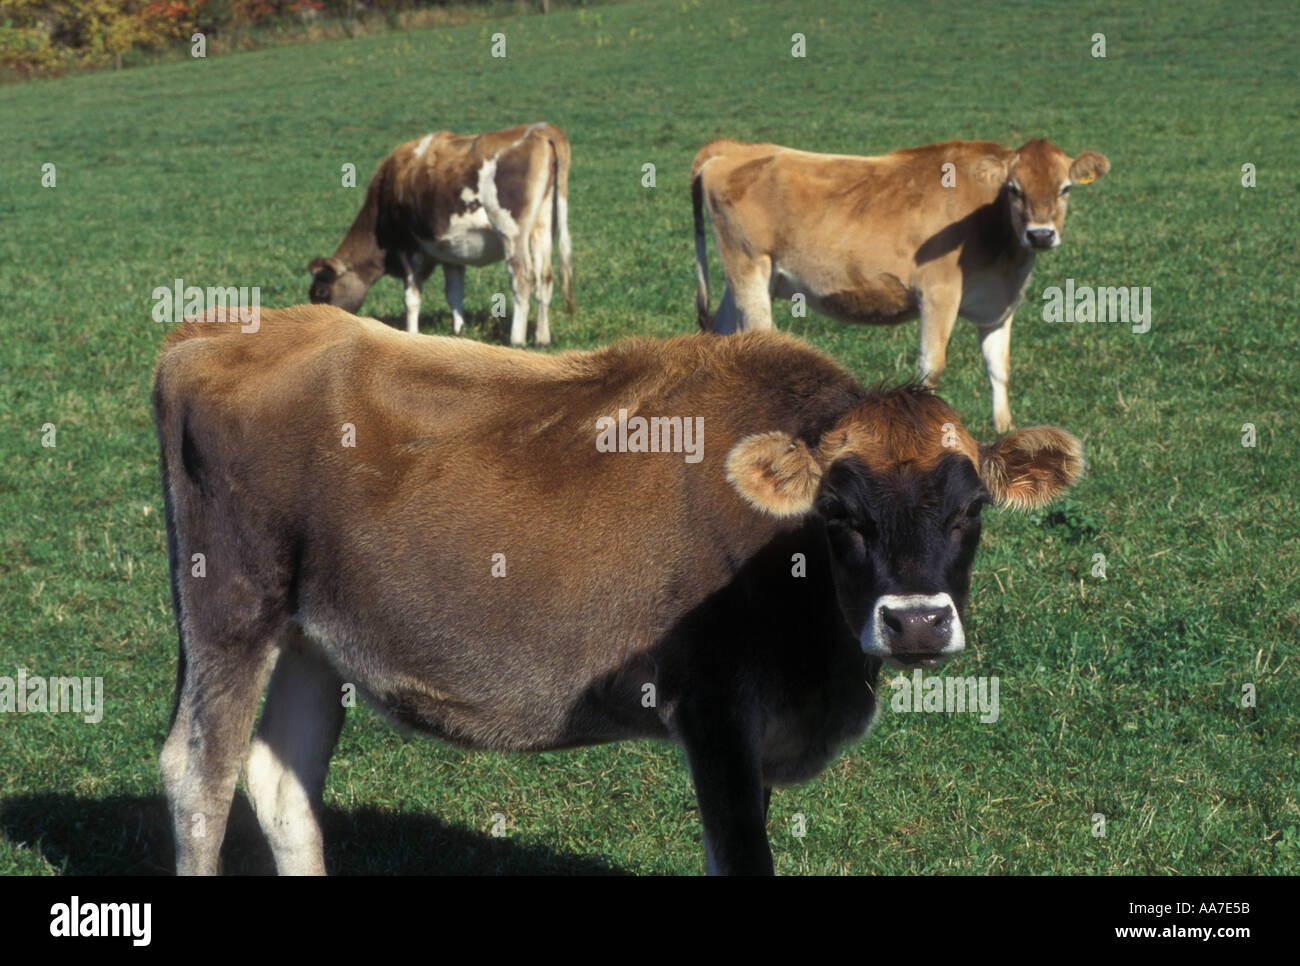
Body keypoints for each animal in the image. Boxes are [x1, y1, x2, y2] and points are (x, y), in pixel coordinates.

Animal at [153, 304, 1085, 875]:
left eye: (970, 510)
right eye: (842, 515)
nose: (917, 624)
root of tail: (216, 331)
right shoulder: (712, 708)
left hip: (313, 634)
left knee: (282, 782)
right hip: (231, 608)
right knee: (199, 775)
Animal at [308, 122, 574, 346]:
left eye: (321, 292)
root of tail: (539, 129)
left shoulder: (407, 247)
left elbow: (411, 298)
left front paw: (412, 333)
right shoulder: (451, 253)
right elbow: (454, 293)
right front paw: (458, 331)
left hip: (512, 232)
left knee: (523, 277)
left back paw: (517, 339)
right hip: (542, 228)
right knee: (545, 277)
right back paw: (542, 338)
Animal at [692, 137, 1110, 432]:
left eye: (1066, 188)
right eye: (1014, 189)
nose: (1040, 235)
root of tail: (734, 148)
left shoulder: (998, 304)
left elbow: (998, 366)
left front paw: (1005, 429)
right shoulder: (938, 292)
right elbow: (932, 366)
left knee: (723, 331)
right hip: (748, 265)